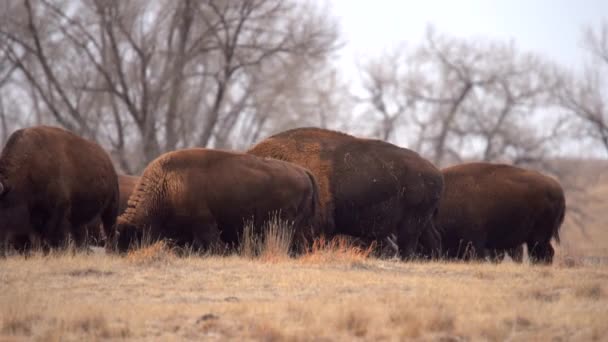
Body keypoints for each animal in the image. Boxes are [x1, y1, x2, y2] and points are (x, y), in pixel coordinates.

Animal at [0, 126, 120, 254]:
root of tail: (108, 162)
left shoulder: (58, 213)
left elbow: (55, 238)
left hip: (111, 208)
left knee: (110, 231)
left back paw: (110, 252)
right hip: (79, 219)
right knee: (81, 237)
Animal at [428, 163, 564, 264]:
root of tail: (558, 189)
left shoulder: (475, 242)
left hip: (539, 237)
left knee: (543, 253)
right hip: (536, 239)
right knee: (545, 253)